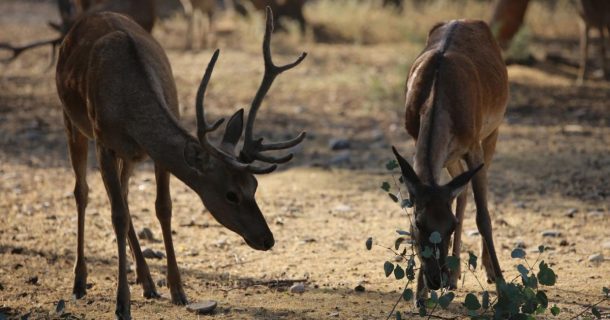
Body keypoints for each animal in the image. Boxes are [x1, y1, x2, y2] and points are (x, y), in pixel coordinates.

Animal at [54, 7, 304, 320]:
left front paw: (178, 290)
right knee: (83, 193)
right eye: (231, 194)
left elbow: (163, 208)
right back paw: (80, 281)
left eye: (255, 185)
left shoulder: (155, 154)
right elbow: (118, 216)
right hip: (71, 119)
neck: (129, 106)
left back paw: (148, 282)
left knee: (123, 194)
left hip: (129, 156)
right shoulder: (104, 143)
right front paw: (122, 304)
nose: (267, 238)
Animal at [392, 18, 506, 304]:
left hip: (493, 130)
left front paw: (504, 289)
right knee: (460, 191)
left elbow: (483, 217)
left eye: (451, 227)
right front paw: (418, 294)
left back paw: (485, 270)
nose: (436, 279)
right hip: (452, 157)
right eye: (418, 224)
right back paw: (455, 276)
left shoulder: (474, 144)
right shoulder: (416, 138)